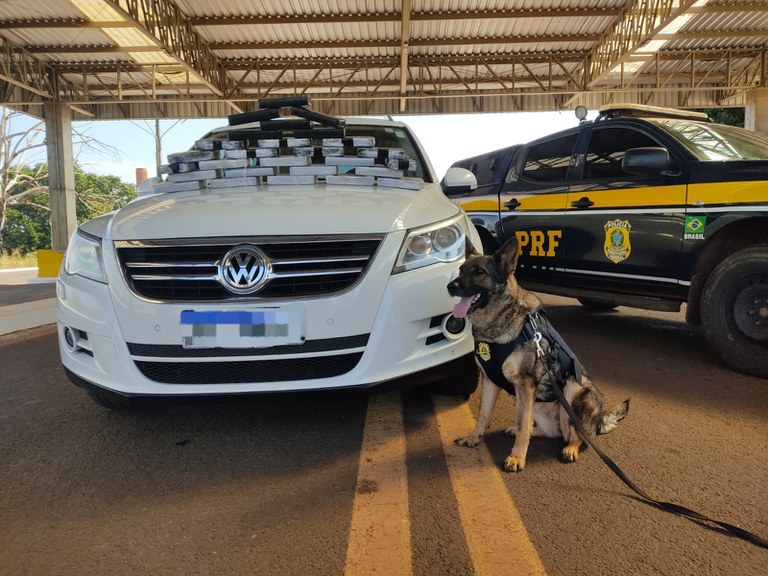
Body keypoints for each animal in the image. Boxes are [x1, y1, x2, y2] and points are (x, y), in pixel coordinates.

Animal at [444, 237, 632, 472]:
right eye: (461, 270)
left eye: (479, 271)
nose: (450, 286)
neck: (499, 319)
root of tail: (597, 421)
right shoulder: (491, 381)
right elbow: (484, 414)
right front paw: (473, 437)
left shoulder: (525, 385)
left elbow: (523, 425)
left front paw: (517, 457)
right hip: (539, 406)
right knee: (552, 432)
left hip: (572, 389)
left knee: (577, 436)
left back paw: (571, 448)